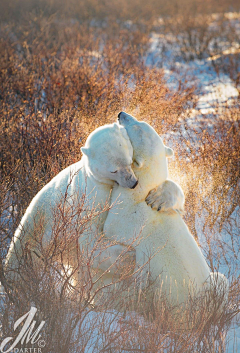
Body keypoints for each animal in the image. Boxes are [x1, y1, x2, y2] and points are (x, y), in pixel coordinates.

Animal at [103, 112, 229, 306]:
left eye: (136, 126)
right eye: (141, 122)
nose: (121, 115)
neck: (139, 192)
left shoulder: (125, 217)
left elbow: (110, 231)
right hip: (211, 284)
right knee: (220, 280)